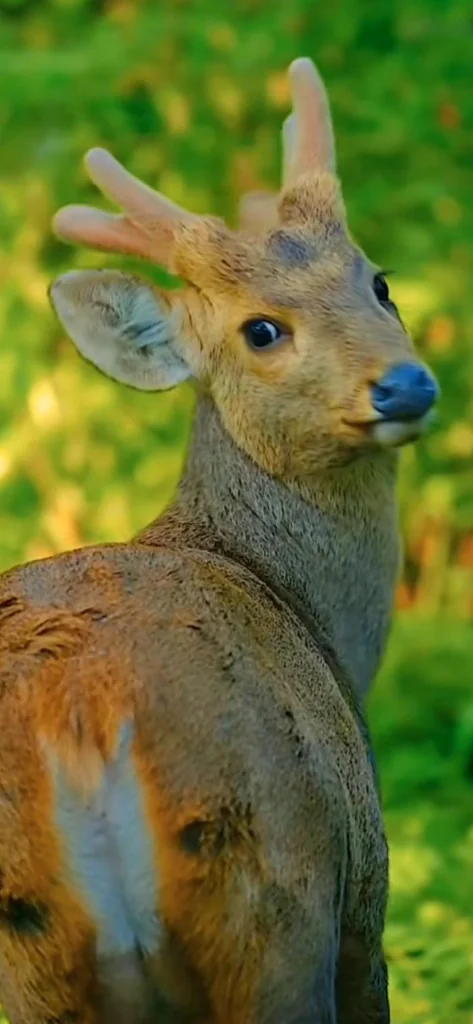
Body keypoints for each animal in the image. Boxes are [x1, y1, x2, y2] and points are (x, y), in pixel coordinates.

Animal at [0, 58, 438, 1024]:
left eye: (379, 282)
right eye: (260, 329)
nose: (405, 384)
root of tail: (77, 720)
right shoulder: (363, 907)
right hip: (272, 884)